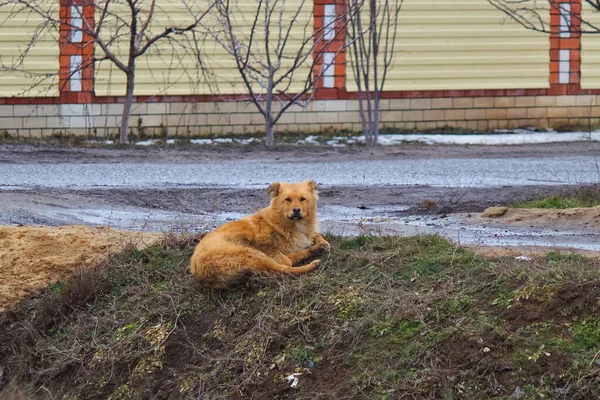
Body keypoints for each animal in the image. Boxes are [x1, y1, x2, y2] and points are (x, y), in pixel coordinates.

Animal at [190, 180, 330, 286]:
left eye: (302, 199)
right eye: (288, 200)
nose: (296, 210)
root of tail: (199, 270)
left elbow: (316, 235)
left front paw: (322, 242)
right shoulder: (266, 246)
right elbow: (286, 259)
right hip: (249, 253)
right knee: (284, 268)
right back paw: (313, 261)